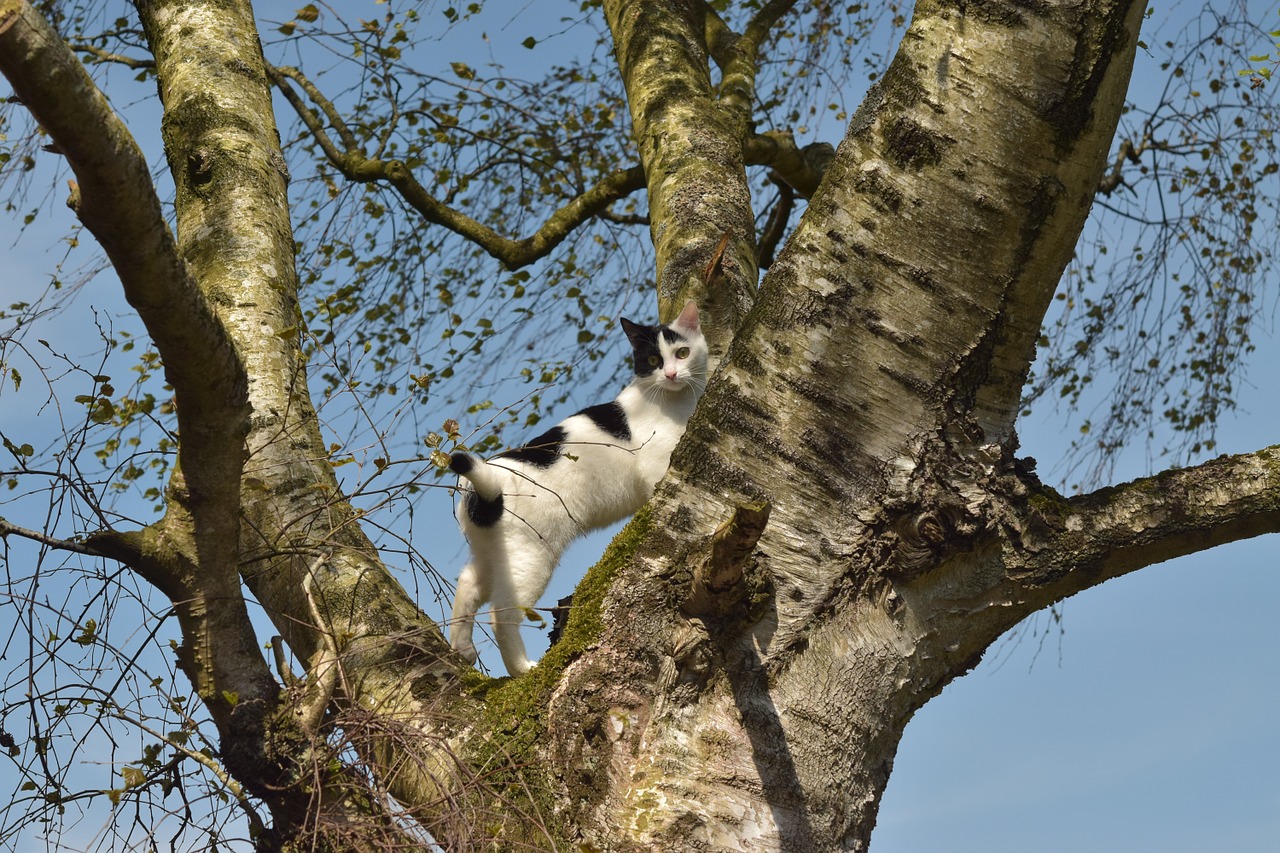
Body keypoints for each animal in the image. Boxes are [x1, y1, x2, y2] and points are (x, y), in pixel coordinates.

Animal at [448, 302, 711, 676]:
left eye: (682, 353)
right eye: (653, 360)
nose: (672, 374)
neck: (676, 402)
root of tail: (483, 486)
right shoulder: (658, 466)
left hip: (495, 556)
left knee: (468, 583)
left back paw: (462, 649)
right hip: (531, 558)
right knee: (501, 614)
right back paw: (521, 669)